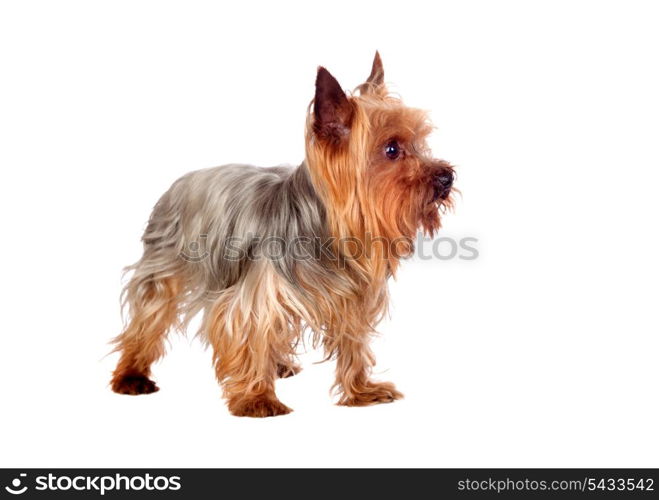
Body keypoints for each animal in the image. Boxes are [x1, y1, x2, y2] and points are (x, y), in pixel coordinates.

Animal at [111, 52, 456, 416]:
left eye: (420, 143)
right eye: (391, 150)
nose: (447, 176)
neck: (326, 231)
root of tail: (179, 182)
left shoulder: (351, 296)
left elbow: (353, 344)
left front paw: (361, 389)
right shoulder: (253, 296)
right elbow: (248, 334)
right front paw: (257, 398)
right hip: (164, 267)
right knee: (147, 318)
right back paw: (131, 376)